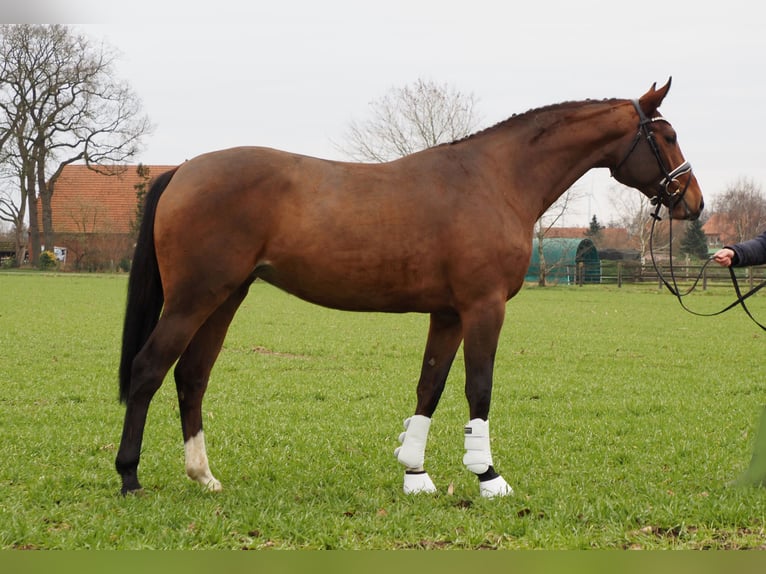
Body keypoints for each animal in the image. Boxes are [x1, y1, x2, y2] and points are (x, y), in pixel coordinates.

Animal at [115, 81, 704, 500]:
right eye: (667, 135)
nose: (693, 202)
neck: (494, 179)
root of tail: (182, 171)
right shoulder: (483, 308)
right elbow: (478, 388)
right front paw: (488, 475)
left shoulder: (447, 314)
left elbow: (430, 387)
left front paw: (415, 474)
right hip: (194, 298)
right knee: (149, 370)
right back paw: (129, 477)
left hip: (225, 296)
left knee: (191, 377)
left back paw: (203, 476)